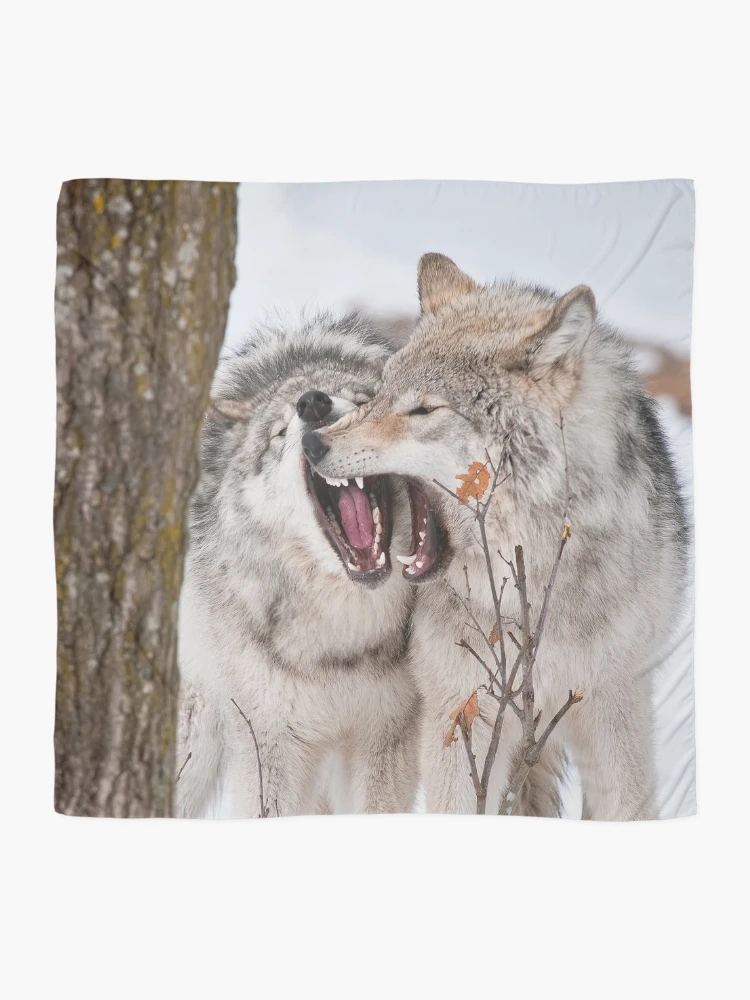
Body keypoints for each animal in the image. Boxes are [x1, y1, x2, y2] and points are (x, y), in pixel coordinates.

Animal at [175, 314, 420, 818]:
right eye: (280, 432)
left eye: (364, 403)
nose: (313, 402)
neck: (343, 633)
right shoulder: (271, 741)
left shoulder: (388, 735)